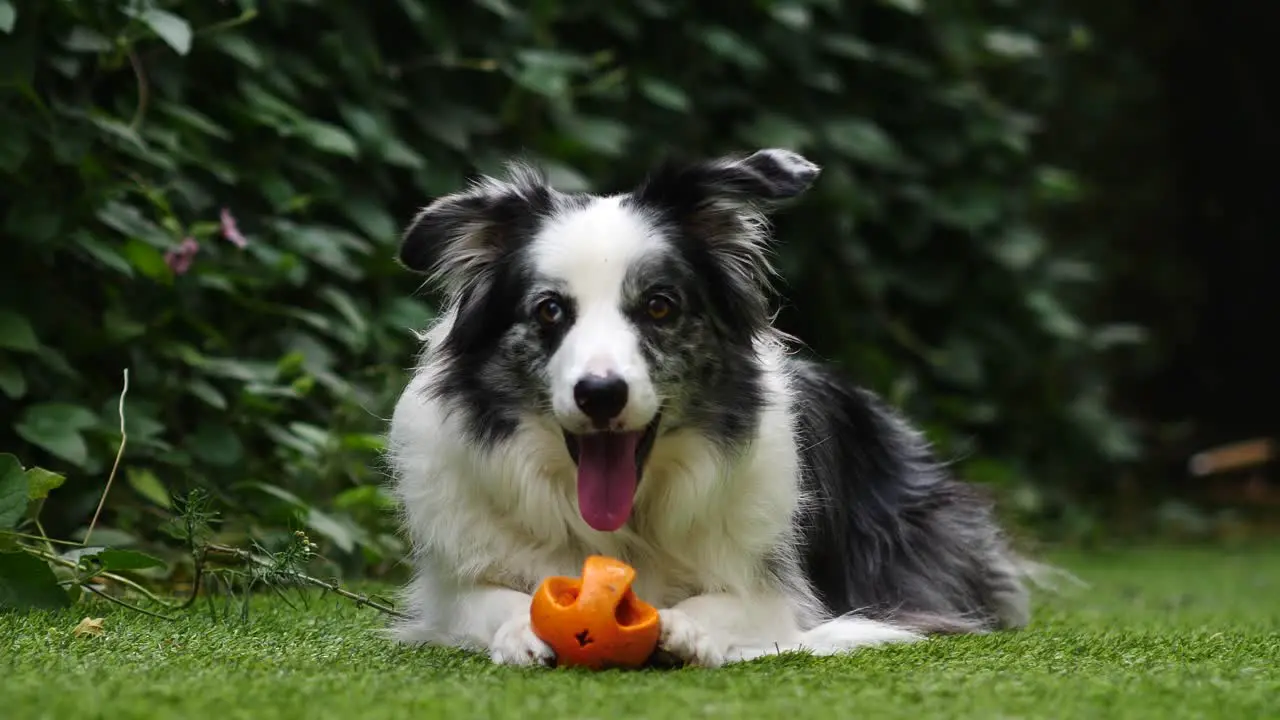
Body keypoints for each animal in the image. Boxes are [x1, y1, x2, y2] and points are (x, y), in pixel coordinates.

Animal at [384, 148, 1034, 666]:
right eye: (549, 311)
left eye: (660, 306)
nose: (601, 394)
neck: (624, 524)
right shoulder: (450, 584)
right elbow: (487, 600)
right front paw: (521, 626)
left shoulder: (778, 594)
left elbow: (737, 605)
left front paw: (688, 627)